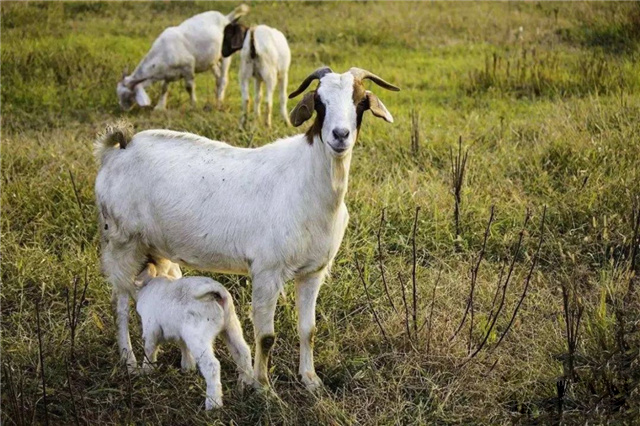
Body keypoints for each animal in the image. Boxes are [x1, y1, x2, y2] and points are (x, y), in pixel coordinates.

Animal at [117, 4, 250, 111]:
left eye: (127, 95)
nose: (123, 109)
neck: (164, 50)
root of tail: (226, 18)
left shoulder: (188, 66)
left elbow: (189, 87)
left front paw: (193, 105)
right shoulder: (167, 73)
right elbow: (164, 88)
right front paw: (160, 107)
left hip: (225, 56)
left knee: (223, 79)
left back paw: (219, 103)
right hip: (211, 60)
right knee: (217, 77)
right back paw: (217, 98)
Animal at [135, 262, 252, 410]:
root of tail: (217, 292)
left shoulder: (151, 329)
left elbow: (149, 350)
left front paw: (146, 371)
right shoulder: (181, 334)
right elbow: (183, 346)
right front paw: (187, 367)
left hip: (199, 336)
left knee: (212, 365)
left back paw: (213, 404)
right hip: (231, 325)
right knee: (243, 352)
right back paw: (245, 385)